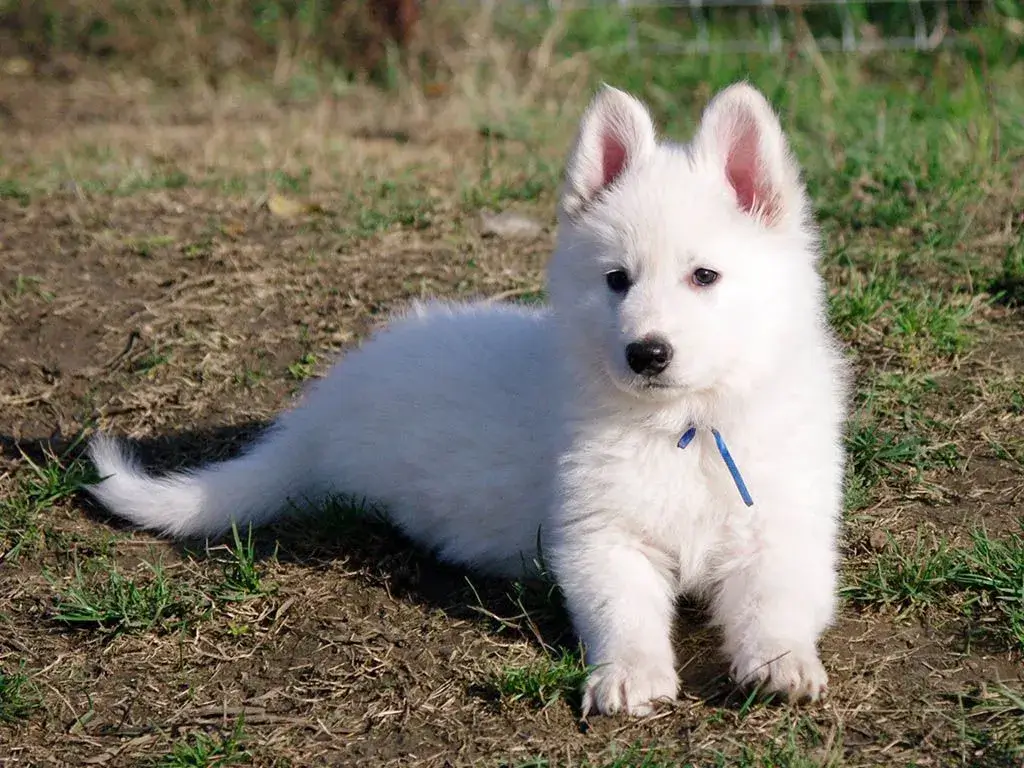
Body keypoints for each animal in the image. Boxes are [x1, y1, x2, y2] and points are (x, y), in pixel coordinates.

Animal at [86, 83, 847, 720]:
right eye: (616, 280)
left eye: (704, 276)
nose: (646, 353)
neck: (684, 425)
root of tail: (327, 404)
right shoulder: (599, 536)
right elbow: (624, 611)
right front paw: (630, 673)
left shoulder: (782, 530)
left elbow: (776, 602)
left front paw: (780, 662)